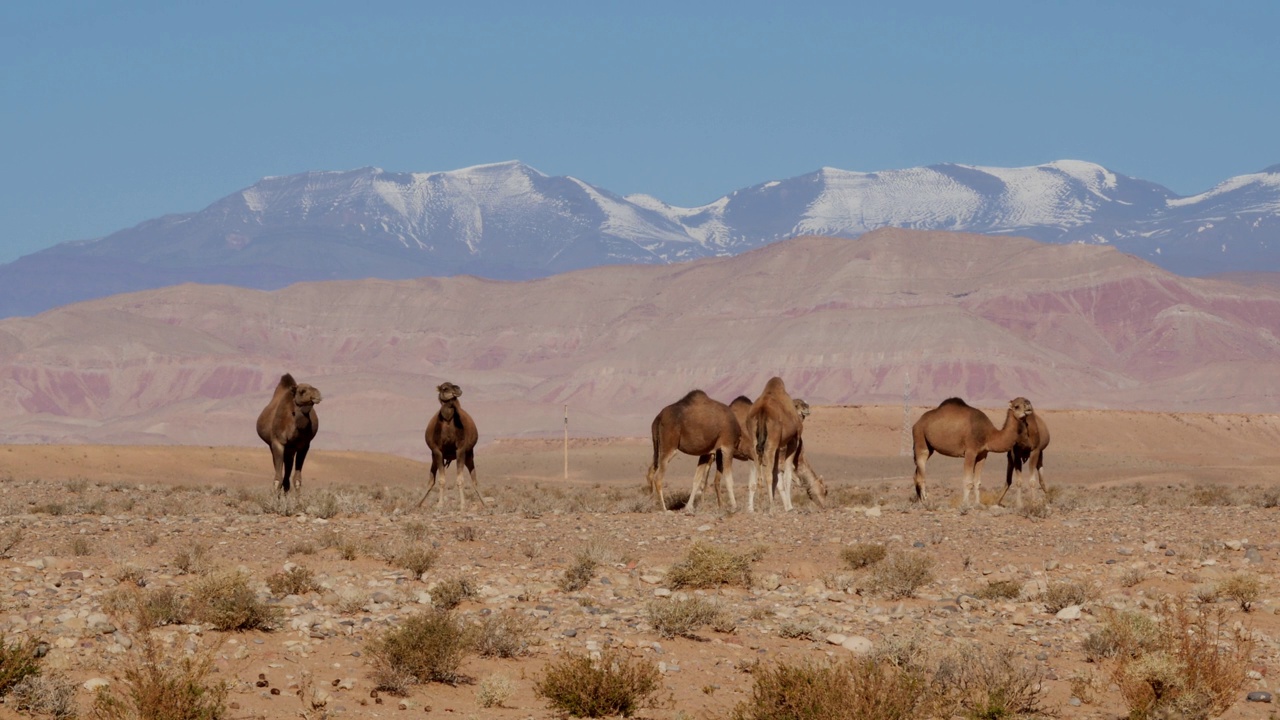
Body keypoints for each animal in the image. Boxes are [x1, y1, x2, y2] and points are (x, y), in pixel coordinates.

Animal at [417, 381, 481, 509]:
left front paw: (462, 504)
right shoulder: (437, 451)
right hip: (434, 457)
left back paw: (484, 503)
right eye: (445, 388)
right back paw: (417, 503)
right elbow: (441, 480)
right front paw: (440, 504)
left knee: (474, 479)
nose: (458, 389)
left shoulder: (460, 450)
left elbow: (460, 480)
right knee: (431, 480)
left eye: (455, 386)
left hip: (469, 454)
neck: (447, 422)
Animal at [742, 376, 798, 509]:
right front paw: (790, 506)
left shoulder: (777, 446)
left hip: (755, 443)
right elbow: (787, 474)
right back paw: (771, 507)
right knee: (768, 474)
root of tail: (762, 410)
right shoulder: (794, 439)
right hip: (770, 444)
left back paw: (760, 504)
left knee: (759, 473)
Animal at [906, 394, 1034, 507]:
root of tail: (916, 423)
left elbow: (977, 482)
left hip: (929, 447)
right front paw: (965, 504)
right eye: (1017, 406)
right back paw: (926, 502)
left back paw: (920, 502)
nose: (1028, 405)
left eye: (1027, 401)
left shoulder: (983, 454)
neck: (989, 435)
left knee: (916, 474)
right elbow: (968, 481)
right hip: (920, 439)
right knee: (921, 474)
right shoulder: (970, 452)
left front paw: (977, 504)